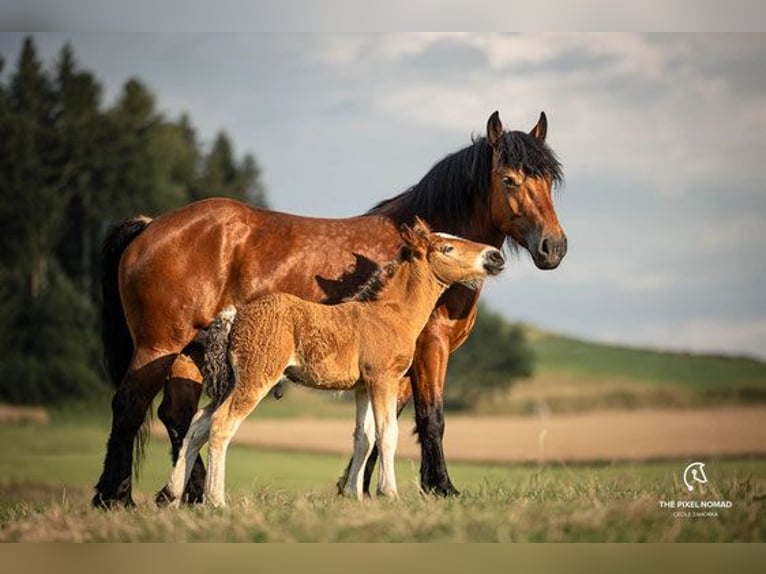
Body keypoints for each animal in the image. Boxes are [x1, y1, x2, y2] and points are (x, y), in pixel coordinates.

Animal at [158, 218, 508, 506]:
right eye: (447, 247)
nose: (495, 257)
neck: (390, 314)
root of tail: (234, 316)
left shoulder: (363, 387)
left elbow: (363, 437)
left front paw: (354, 495)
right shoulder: (383, 378)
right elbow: (387, 433)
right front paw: (388, 493)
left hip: (233, 381)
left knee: (198, 424)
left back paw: (174, 496)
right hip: (256, 379)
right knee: (221, 425)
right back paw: (216, 501)